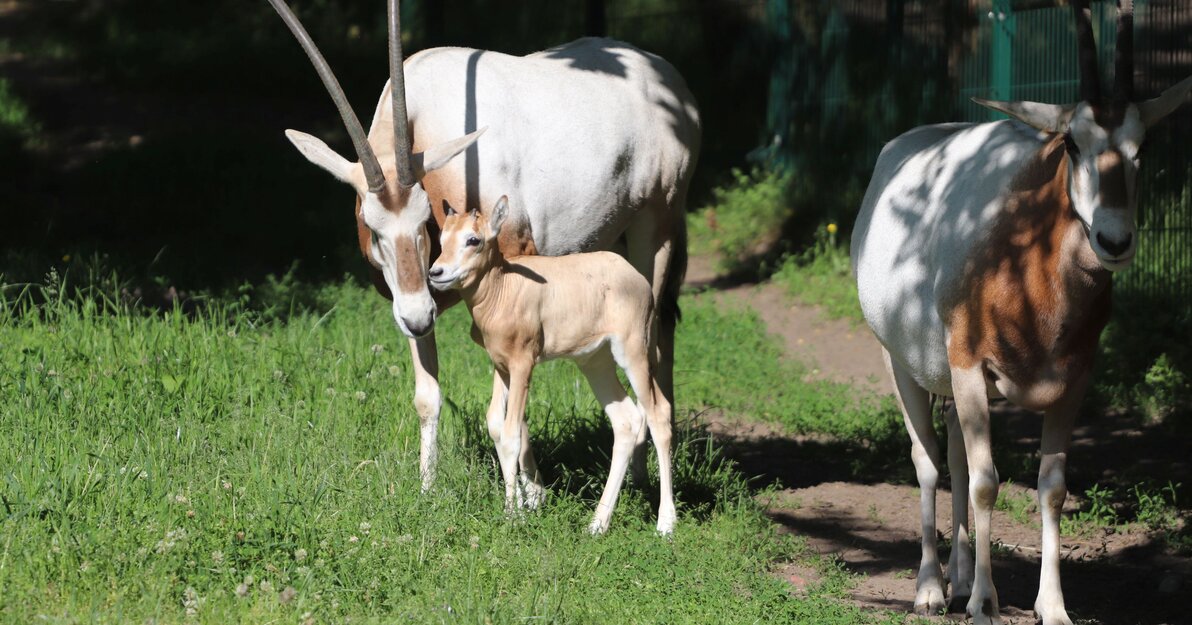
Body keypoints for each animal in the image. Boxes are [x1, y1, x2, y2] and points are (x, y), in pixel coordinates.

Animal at [429, 195, 677, 531]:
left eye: (473, 239)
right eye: (443, 239)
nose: (436, 272)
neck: (505, 286)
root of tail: (636, 278)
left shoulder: (523, 364)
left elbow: (511, 433)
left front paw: (512, 516)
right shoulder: (501, 366)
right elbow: (495, 425)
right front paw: (523, 507)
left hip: (633, 352)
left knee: (658, 413)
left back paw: (665, 523)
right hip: (595, 363)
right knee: (626, 420)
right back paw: (597, 524)